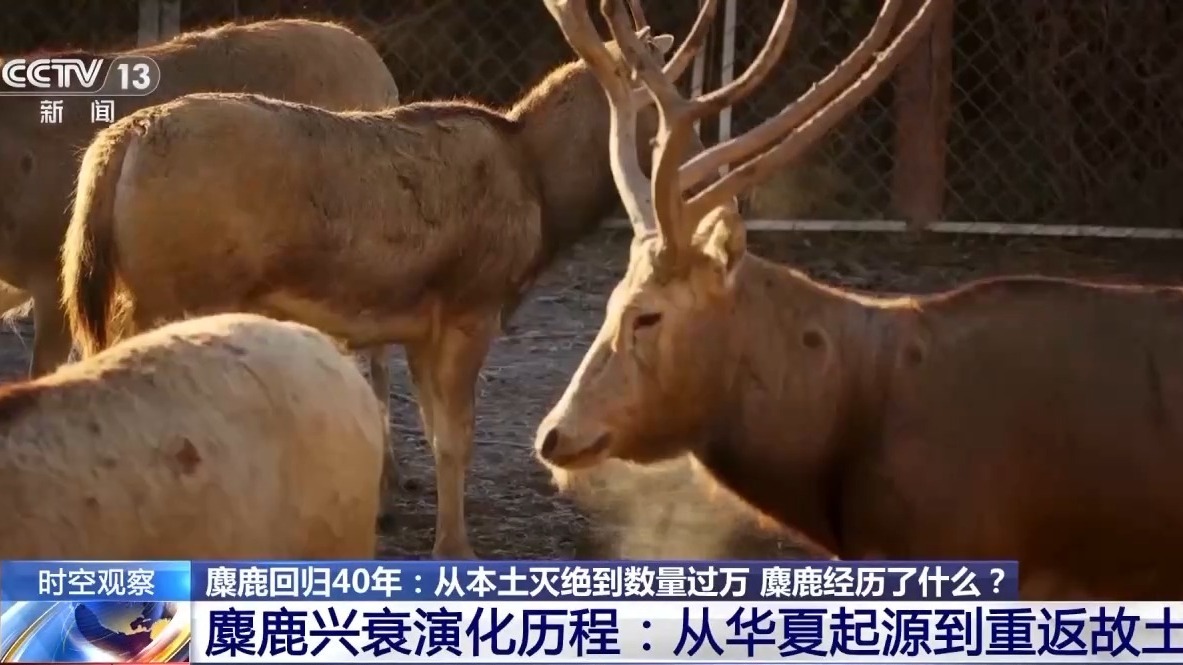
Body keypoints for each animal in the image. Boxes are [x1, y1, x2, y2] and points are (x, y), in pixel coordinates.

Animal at [57, 19, 721, 558]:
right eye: (659, 112)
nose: (704, 182)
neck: (541, 193)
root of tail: (114, 148)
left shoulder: (418, 325)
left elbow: (432, 432)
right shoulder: (471, 304)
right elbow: (457, 439)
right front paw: (455, 549)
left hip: (126, 299)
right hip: (178, 291)